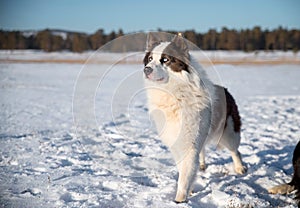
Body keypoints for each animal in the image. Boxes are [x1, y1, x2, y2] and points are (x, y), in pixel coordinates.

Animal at [143, 31, 246, 202]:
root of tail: (225, 90)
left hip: (229, 133)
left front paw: (180, 199)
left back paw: (239, 168)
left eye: (165, 60)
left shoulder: (190, 144)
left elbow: (185, 175)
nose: (146, 70)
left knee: (235, 151)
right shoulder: (177, 143)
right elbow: (184, 170)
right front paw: (188, 191)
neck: (174, 94)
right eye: (150, 59)